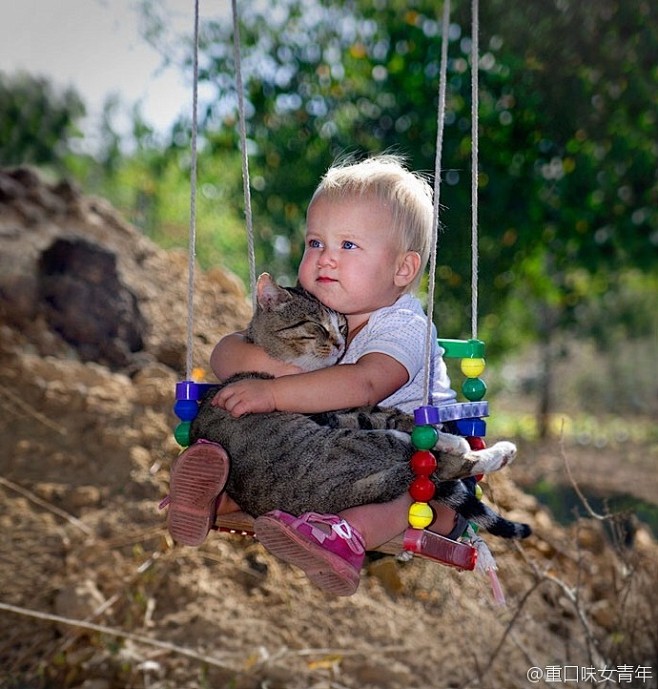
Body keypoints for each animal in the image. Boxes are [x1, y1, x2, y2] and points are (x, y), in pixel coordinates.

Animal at [188, 272, 528, 540]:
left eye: (341, 326)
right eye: (316, 326)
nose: (341, 344)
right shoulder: (338, 413)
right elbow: (393, 417)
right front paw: (451, 438)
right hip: (358, 445)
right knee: (435, 462)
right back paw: (487, 449)